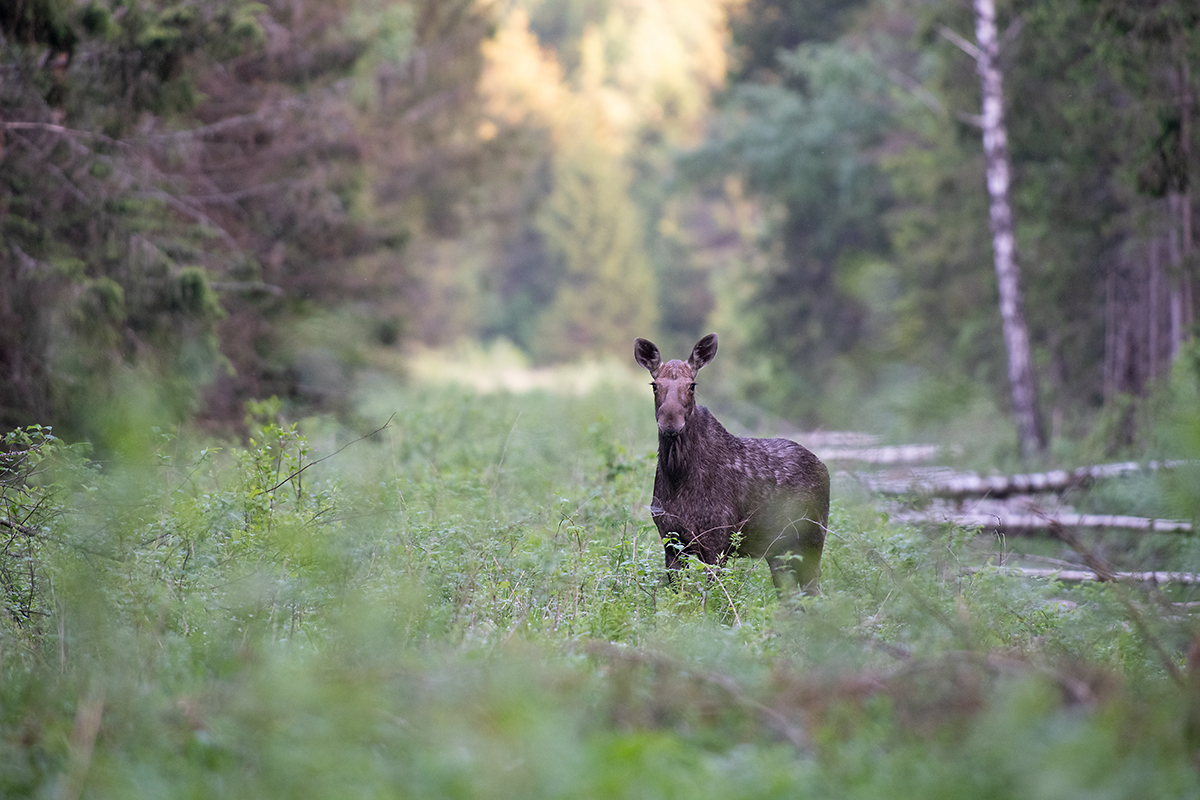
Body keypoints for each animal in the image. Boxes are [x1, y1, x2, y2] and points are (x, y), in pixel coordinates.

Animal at [633, 333, 830, 594]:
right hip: (778, 551)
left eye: (692, 385)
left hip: (812, 540)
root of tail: (823, 466)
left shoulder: (717, 540)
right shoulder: (670, 539)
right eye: (655, 385)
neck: (677, 478)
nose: (670, 422)